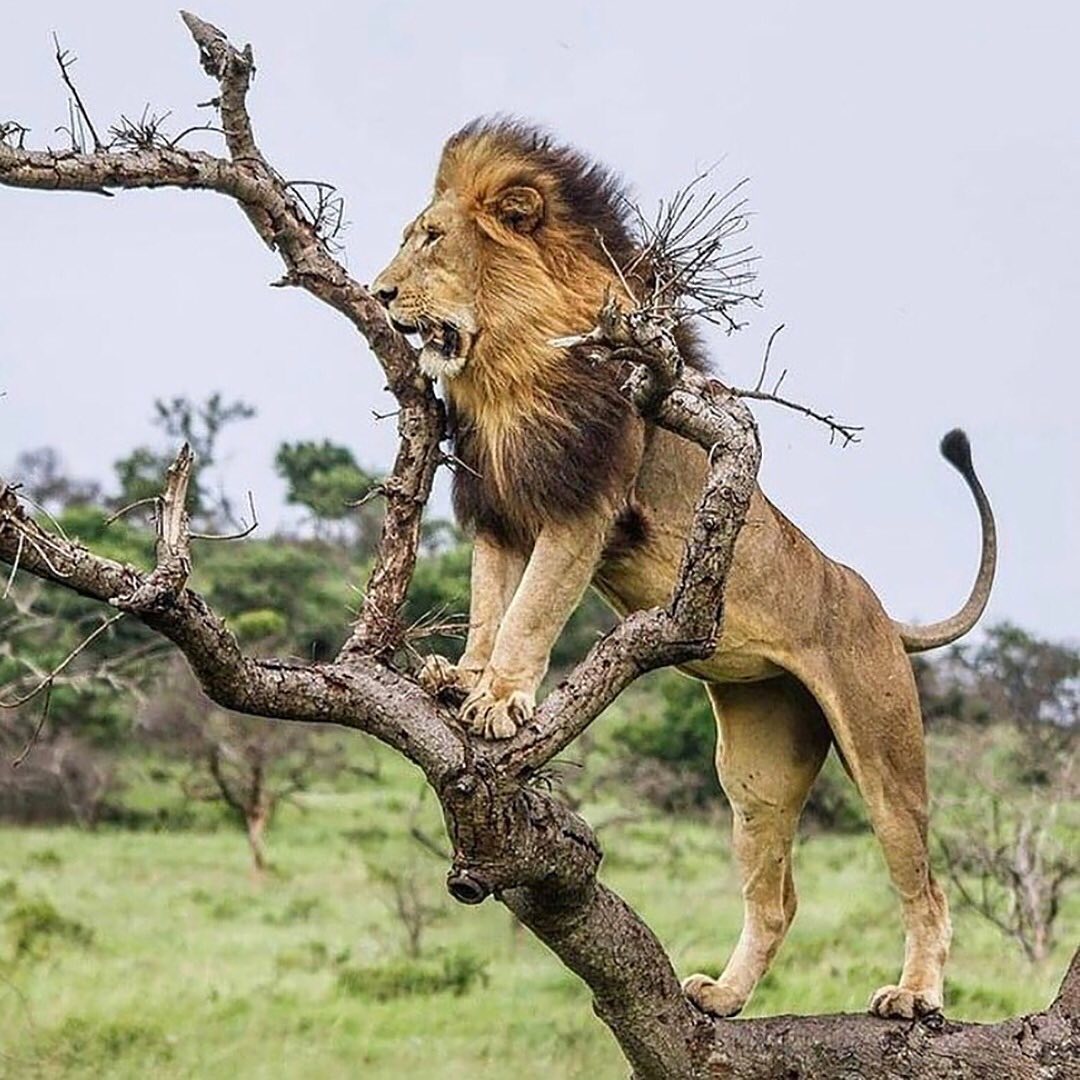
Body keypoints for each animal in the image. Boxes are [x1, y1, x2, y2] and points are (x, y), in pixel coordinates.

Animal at [370, 119, 997, 1021]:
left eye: (431, 239)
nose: (380, 294)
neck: (509, 367)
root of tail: (880, 610)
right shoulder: (500, 503)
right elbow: (490, 604)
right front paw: (461, 681)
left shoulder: (584, 503)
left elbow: (531, 611)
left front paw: (500, 703)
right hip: (756, 764)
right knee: (777, 898)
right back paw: (724, 998)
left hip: (882, 748)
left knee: (925, 885)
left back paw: (914, 996)